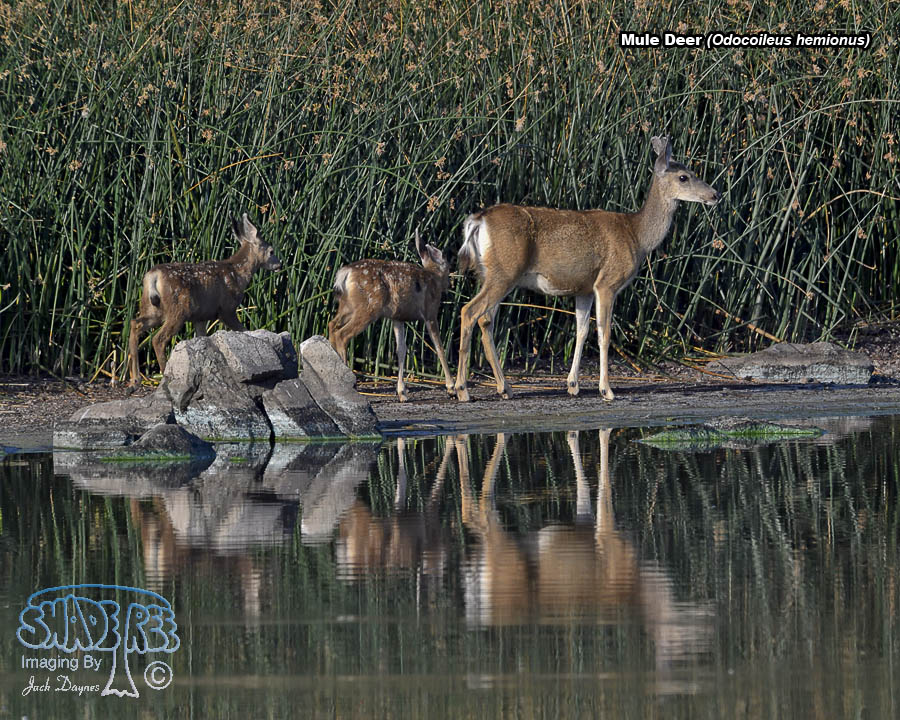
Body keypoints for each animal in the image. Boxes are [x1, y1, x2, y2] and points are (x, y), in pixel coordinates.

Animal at [127, 213, 281, 386]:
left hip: (153, 308)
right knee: (158, 339)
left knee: (135, 323)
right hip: (179, 309)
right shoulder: (227, 308)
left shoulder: (200, 317)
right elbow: (244, 330)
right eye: (271, 251)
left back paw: (135, 380)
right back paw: (164, 375)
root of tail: (153, 276)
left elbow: (202, 338)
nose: (280, 264)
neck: (238, 273)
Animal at [328, 228, 454, 402]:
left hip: (347, 306)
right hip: (368, 308)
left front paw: (402, 393)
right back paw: (349, 381)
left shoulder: (397, 318)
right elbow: (439, 347)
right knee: (343, 334)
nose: (449, 284)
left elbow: (401, 349)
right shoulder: (430, 312)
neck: (433, 278)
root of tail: (345, 274)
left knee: (332, 325)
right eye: (448, 266)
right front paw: (452, 388)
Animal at [454, 136, 721, 402]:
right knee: (470, 311)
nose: (715, 194)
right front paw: (607, 390)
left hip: (490, 274)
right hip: (505, 272)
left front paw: (573, 385)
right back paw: (462, 389)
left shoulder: (584, 288)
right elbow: (604, 334)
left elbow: (581, 331)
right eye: (684, 177)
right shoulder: (607, 282)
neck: (636, 235)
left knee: (485, 320)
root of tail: (477, 220)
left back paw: (503, 388)